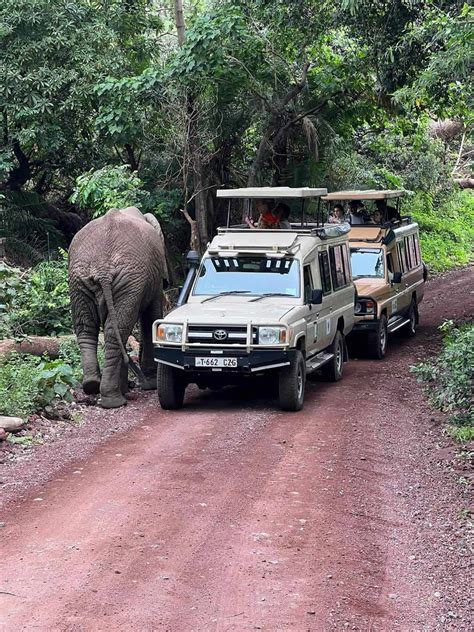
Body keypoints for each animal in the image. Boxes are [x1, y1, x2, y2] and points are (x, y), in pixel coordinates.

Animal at [68, 205, 168, 408]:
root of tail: (102, 268)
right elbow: (151, 317)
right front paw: (150, 384)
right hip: (124, 279)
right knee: (116, 331)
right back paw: (115, 400)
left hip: (81, 280)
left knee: (88, 328)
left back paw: (93, 386)